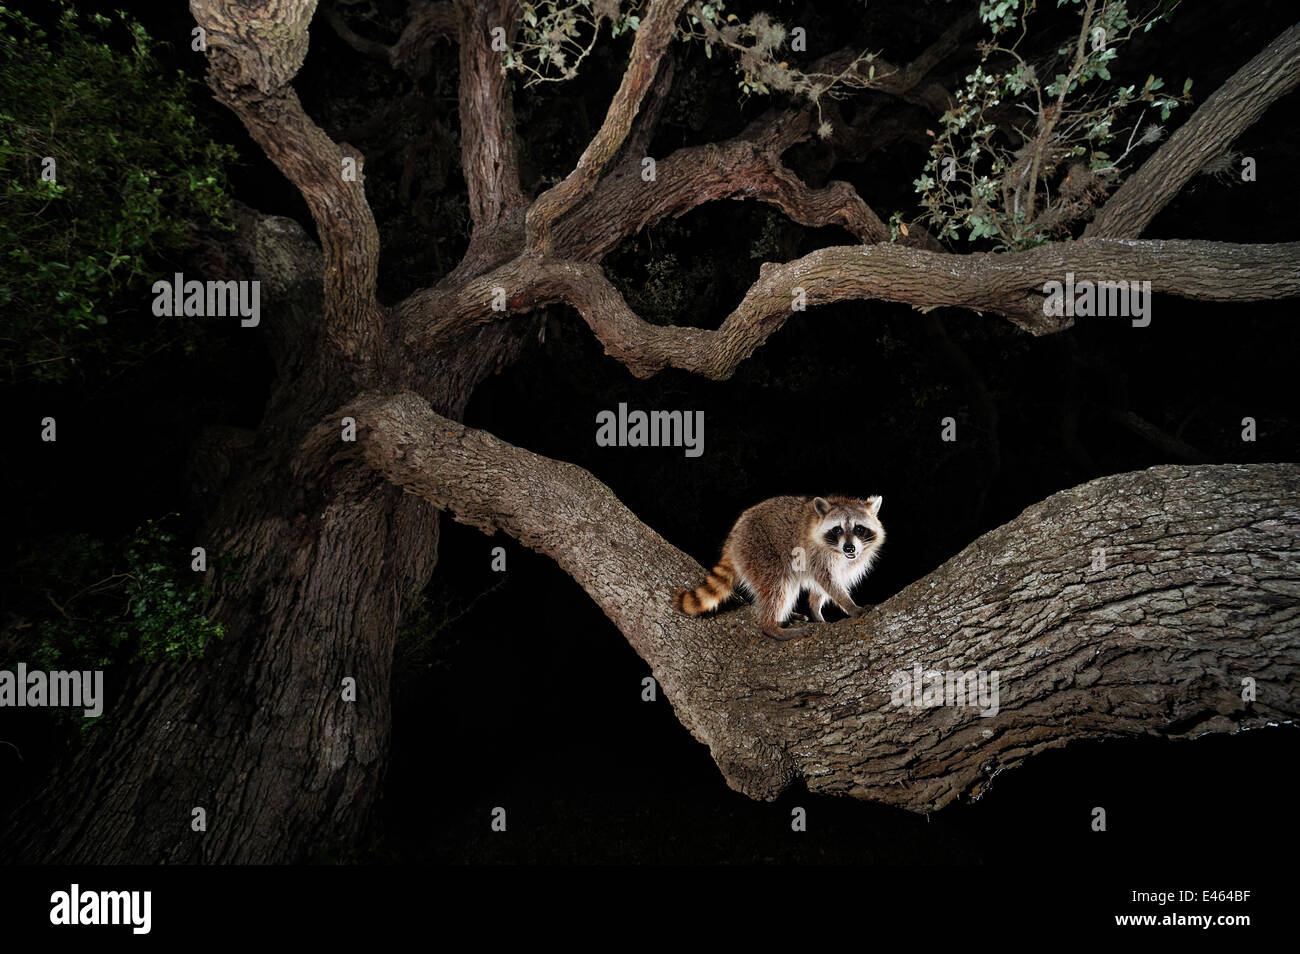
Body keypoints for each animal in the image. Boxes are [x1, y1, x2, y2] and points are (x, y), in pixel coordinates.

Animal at [674, 495, 885, 641]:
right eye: (837, 529)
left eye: (859, 529)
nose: (849, 548)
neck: (839, 551)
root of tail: (734, 537)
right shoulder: (814, 552)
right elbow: (828, 581)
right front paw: (850, 606)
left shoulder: (850, 561)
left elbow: (823, 585)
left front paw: (816, 608)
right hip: (760, 551)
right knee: (777, 586)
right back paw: (772, 627)